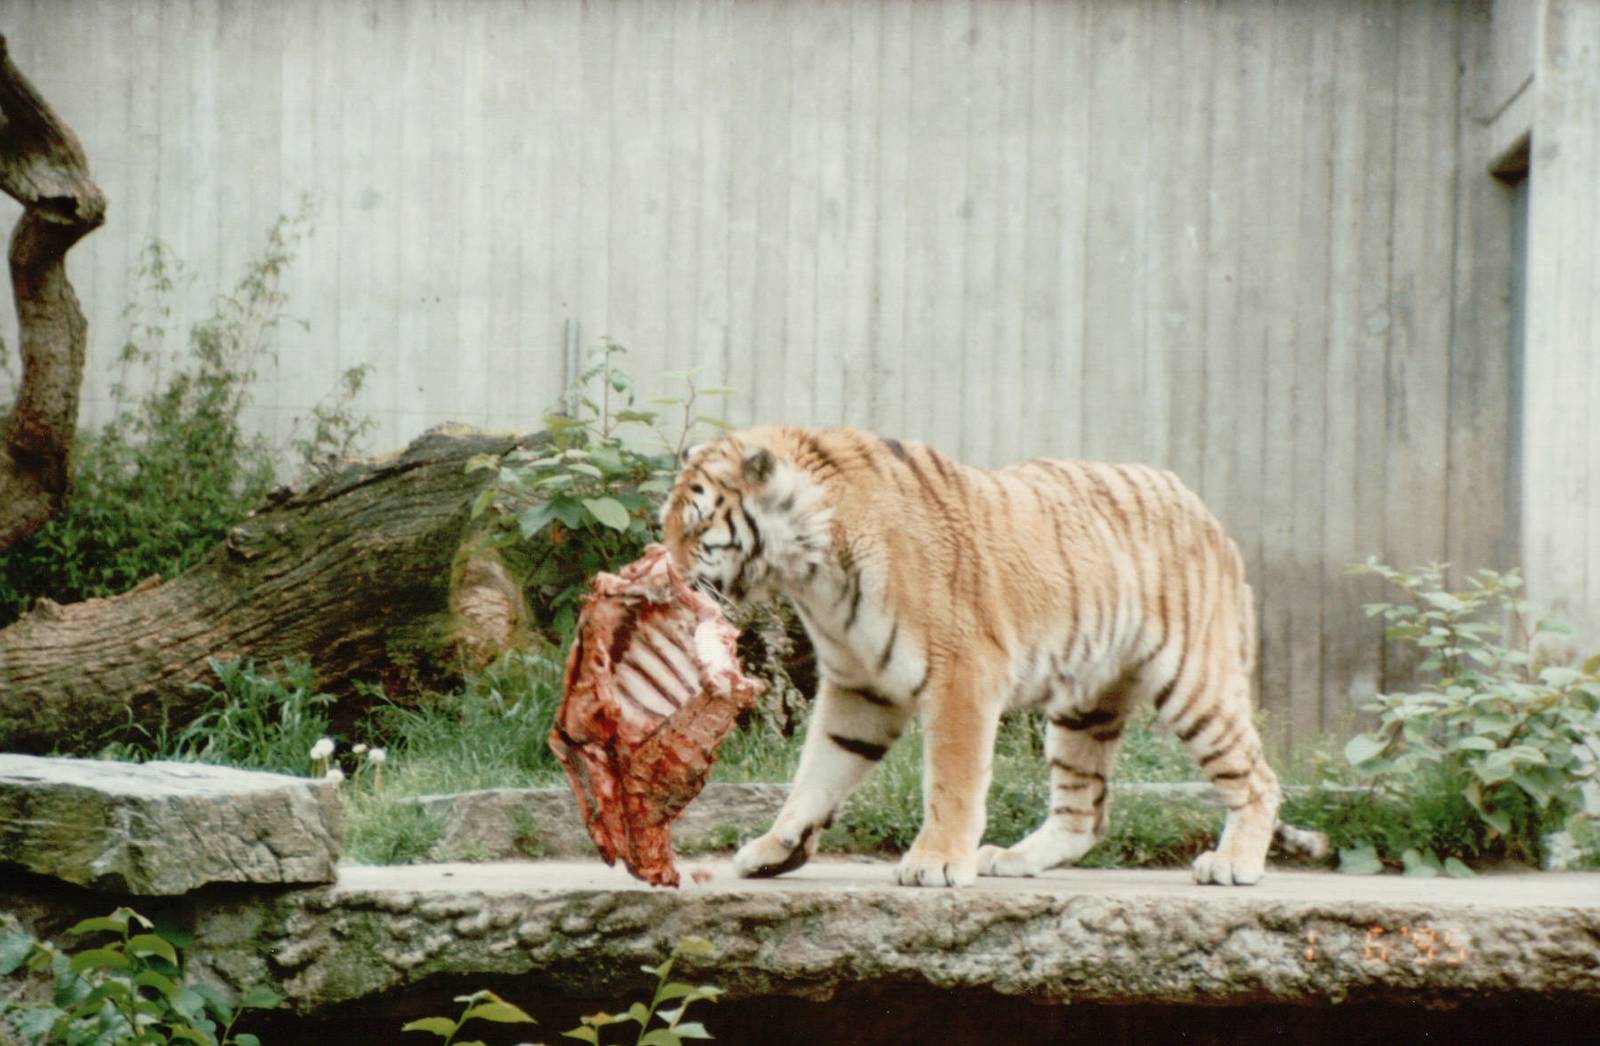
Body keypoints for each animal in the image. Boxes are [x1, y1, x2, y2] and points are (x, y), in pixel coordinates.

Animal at [659, 424, 1326, 887]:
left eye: (693, 529)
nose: (663, 574)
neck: (810, 567)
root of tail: (1206, 512)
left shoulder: (961, 675)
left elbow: (951, 780)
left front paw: (934, 863)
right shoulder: (859, 687)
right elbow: (818, 771)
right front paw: (776, 847)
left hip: (1194, 684)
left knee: (1258, 778)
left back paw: (1234, 863)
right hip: (1085, 705)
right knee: (1085, 813)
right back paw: (1012, 857)